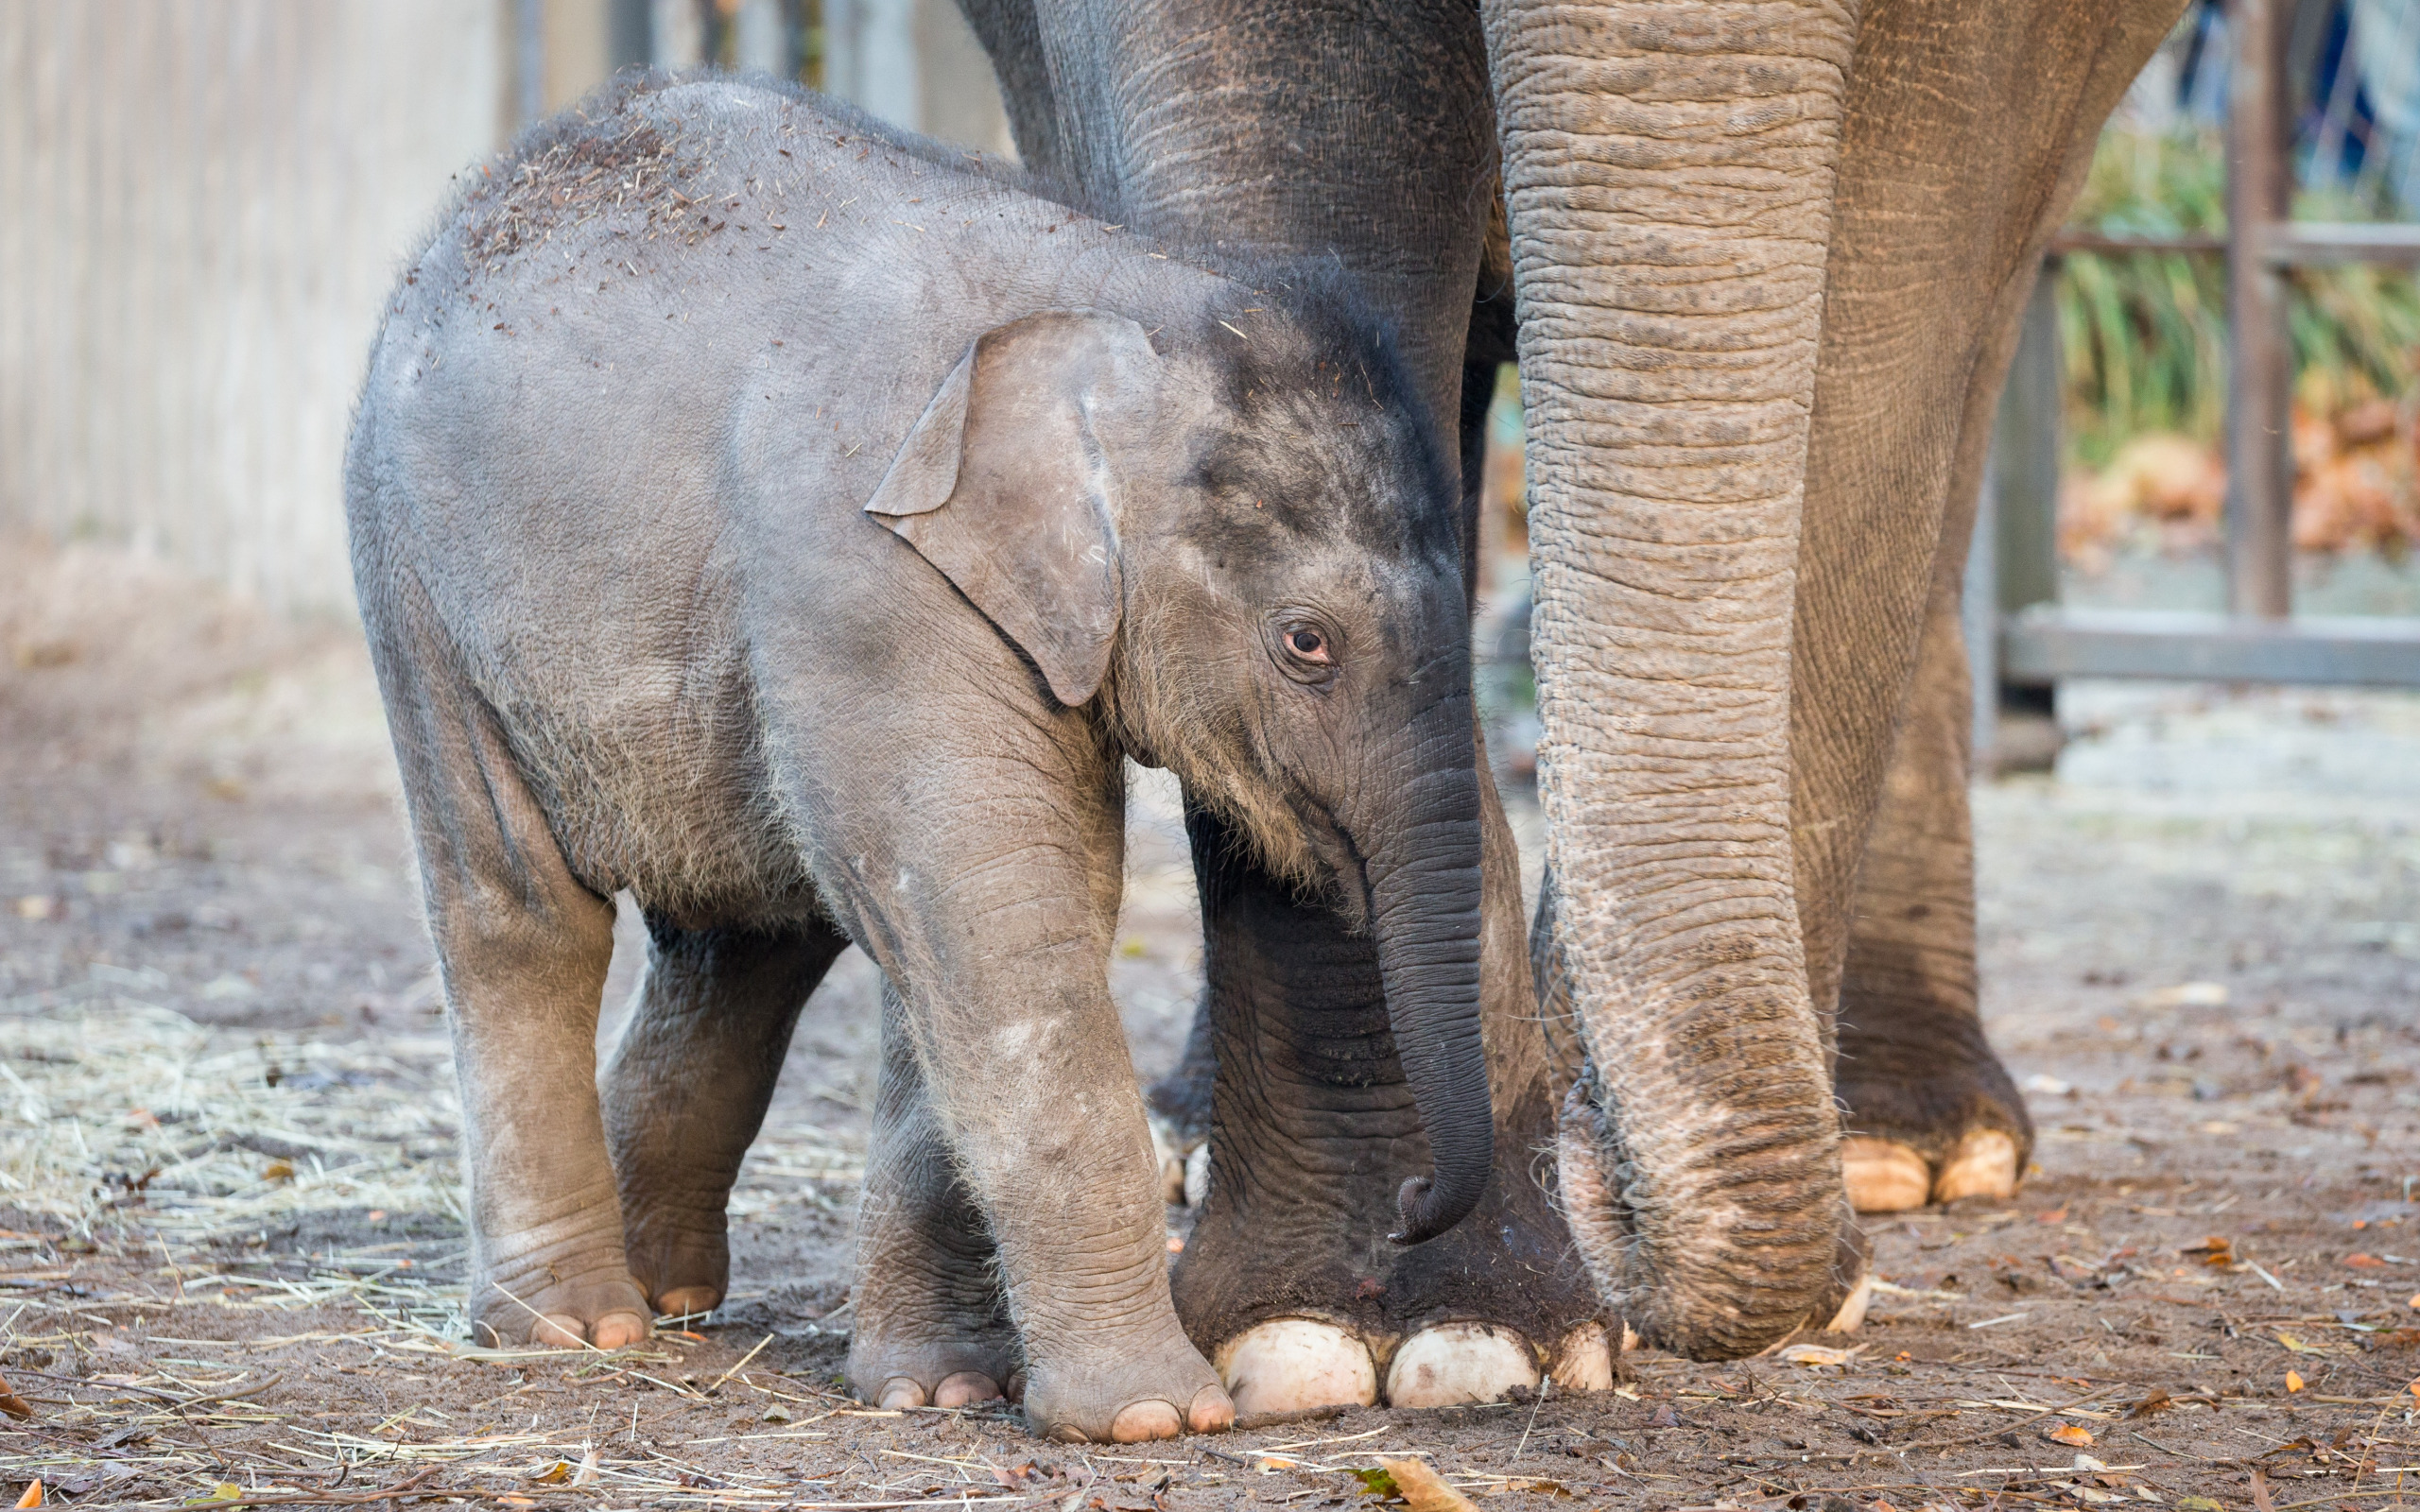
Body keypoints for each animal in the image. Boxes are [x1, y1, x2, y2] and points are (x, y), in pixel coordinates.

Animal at [346, 77, 1490, 1441]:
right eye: (1306, 643)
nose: (1414, 1205)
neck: (1125, 291)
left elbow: (986, 936)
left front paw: (944, 1389)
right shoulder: (871, 578)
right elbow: (998, 936)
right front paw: (1158, 1416)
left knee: (744, 944)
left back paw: (664, 1288)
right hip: (413, 578)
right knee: (520, 915)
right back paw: (576, 1326)